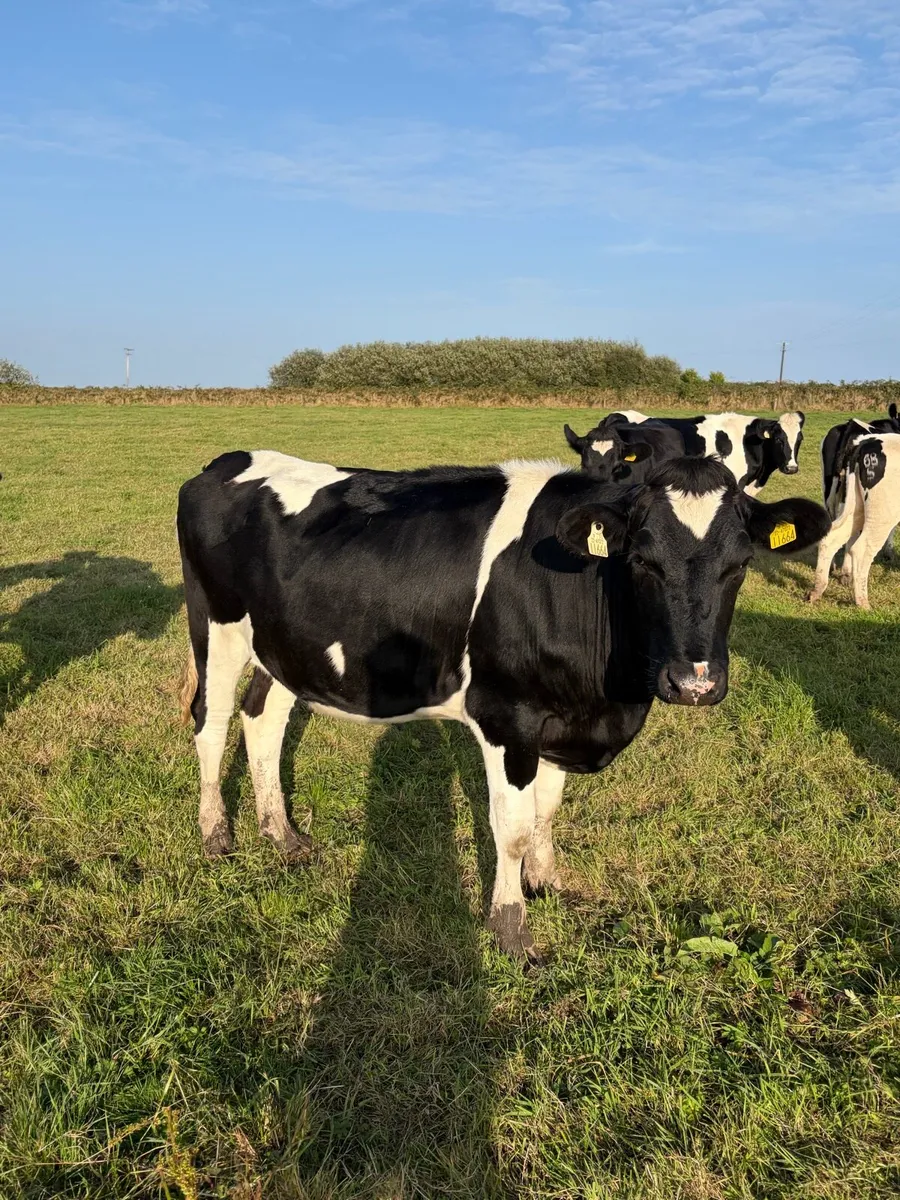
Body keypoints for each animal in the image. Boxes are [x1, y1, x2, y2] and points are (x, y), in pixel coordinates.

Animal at [177, 449, 829, 962]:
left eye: (740, 565)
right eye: (642, 561)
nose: (694, 682)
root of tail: (224, 463)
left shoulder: (561, 717)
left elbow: (546, 811)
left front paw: (545, 880)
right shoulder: (506, 716)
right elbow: (511, 827)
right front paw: (511, 928)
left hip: (284, 646)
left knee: (263, 721)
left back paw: (281, 834)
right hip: (217, 628)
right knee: (210, 725)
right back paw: (216, 835)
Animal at [808, 431, 900, 609]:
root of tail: (865, 442)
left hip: (856, 507)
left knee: (831, 538)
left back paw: (816, 591)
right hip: (883, 513)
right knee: (861, 549)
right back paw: (863, 604)